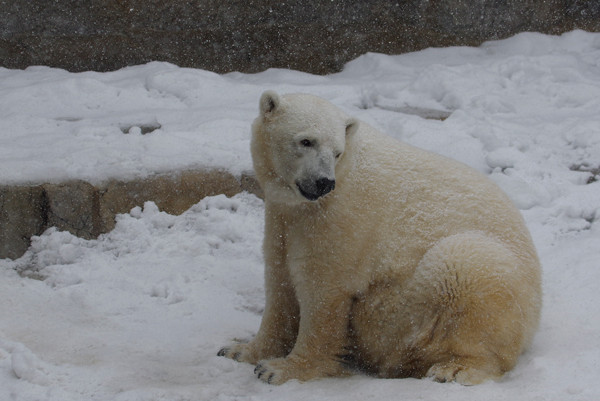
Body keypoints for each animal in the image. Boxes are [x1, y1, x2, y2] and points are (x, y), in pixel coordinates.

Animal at [218, 90, 540, 384]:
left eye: (337, 151)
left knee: (466, 266)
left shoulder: (339, 218)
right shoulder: (283, 217)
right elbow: (279, 280)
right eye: (306, 141)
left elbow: (322, 288)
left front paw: (281, 369)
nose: (324, 182)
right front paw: (241, 350)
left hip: (468, 290)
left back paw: (453, 368)